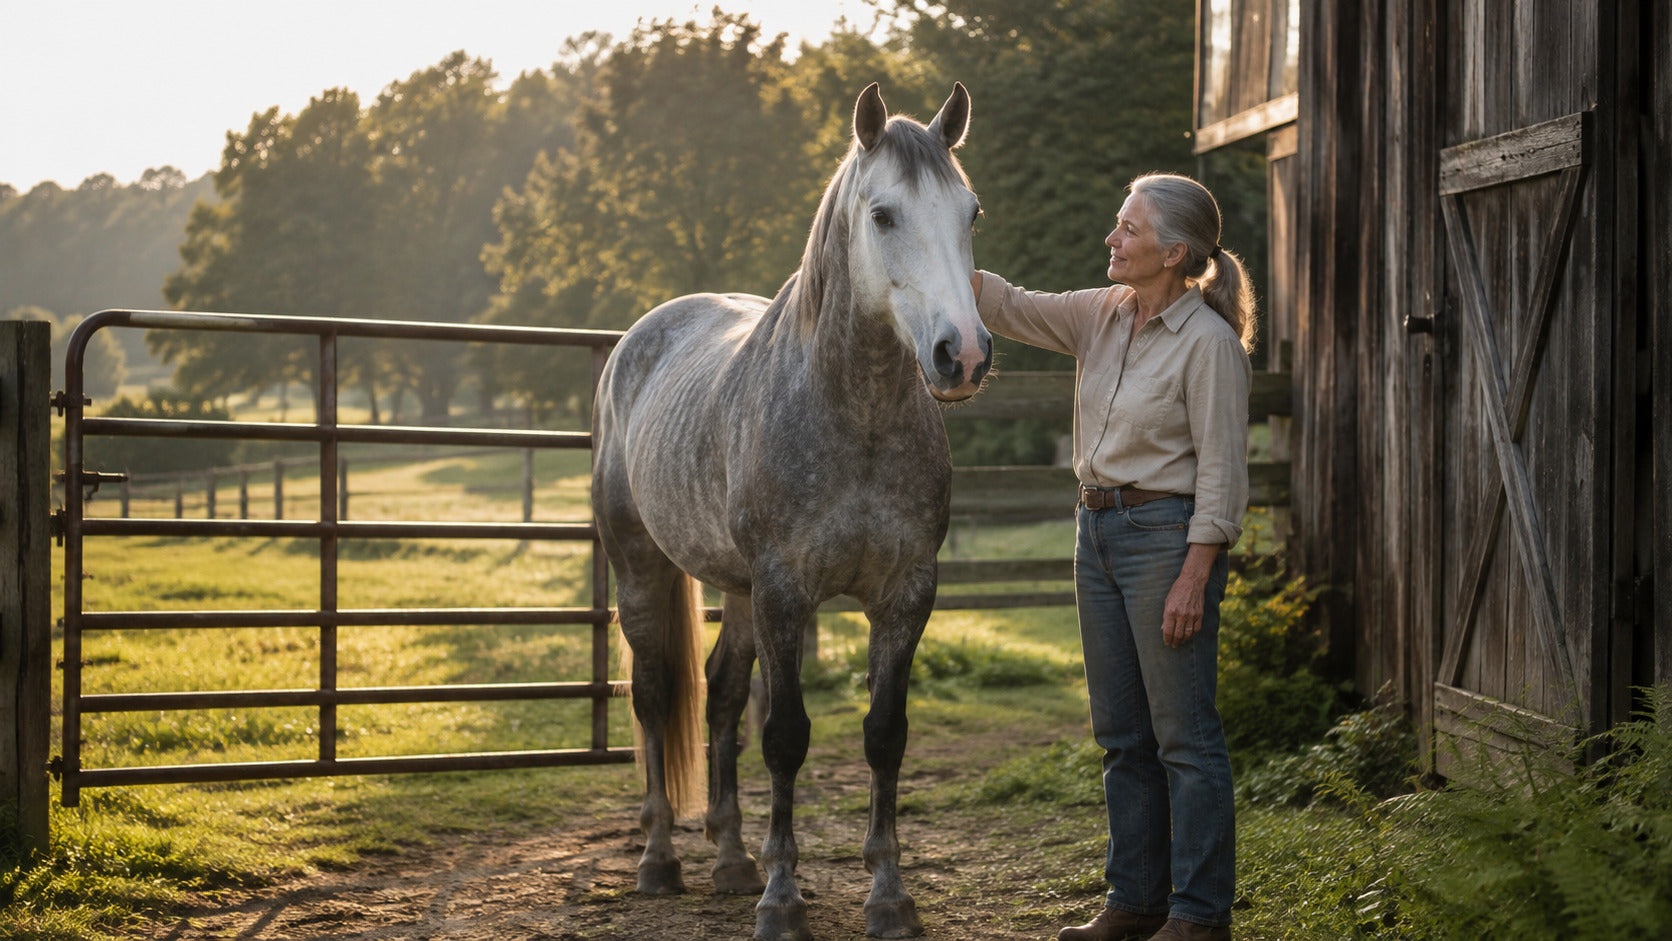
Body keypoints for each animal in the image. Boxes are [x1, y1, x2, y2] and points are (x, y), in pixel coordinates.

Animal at [590, 82, 989, 941]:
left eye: (969, 212)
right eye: (883, 214)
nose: (964, 355)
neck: (854, 414)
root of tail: (637, 341)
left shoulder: (906, 593)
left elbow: (883, 734)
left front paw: (888, 894)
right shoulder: (783, 590)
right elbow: (785, 735)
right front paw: (782, 900)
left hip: (736, 589)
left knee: (721, 692)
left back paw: (732, 857)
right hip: (641, 566)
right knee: (656, 693)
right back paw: (660, 860)